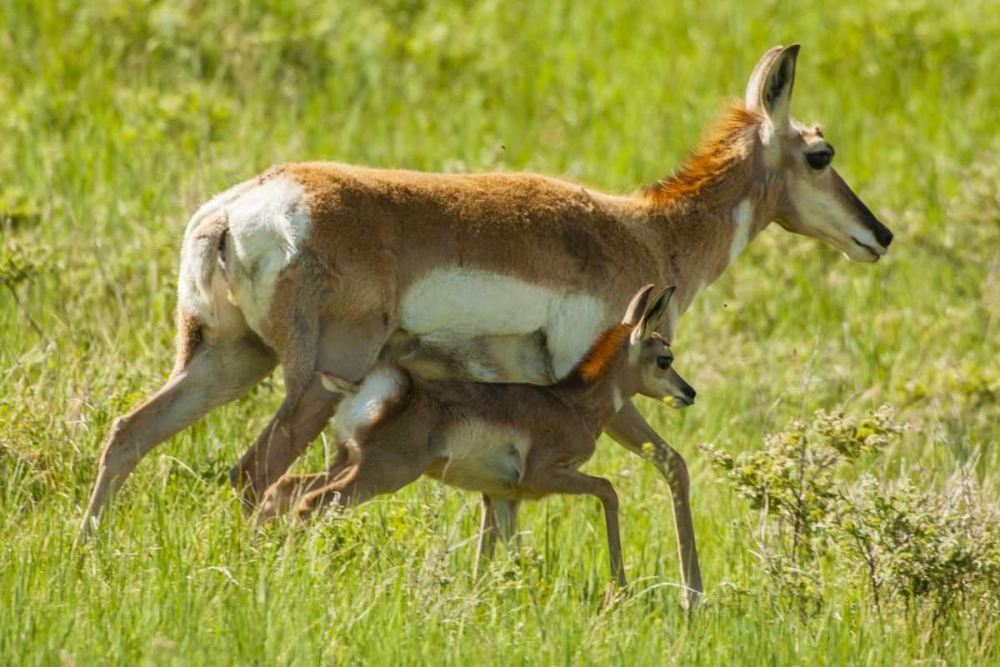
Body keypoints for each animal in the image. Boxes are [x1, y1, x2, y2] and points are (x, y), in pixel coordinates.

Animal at [257, 285, 695, 590]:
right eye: (665, 358)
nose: (689, 393)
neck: (573, 402)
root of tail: (385, 389)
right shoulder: (546, 477)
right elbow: (608, 491)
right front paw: (620, 587)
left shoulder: (502, 497)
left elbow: (498, 554)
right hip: (379, 475)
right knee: (311, 502)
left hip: (348, 463)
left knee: (285, 487)